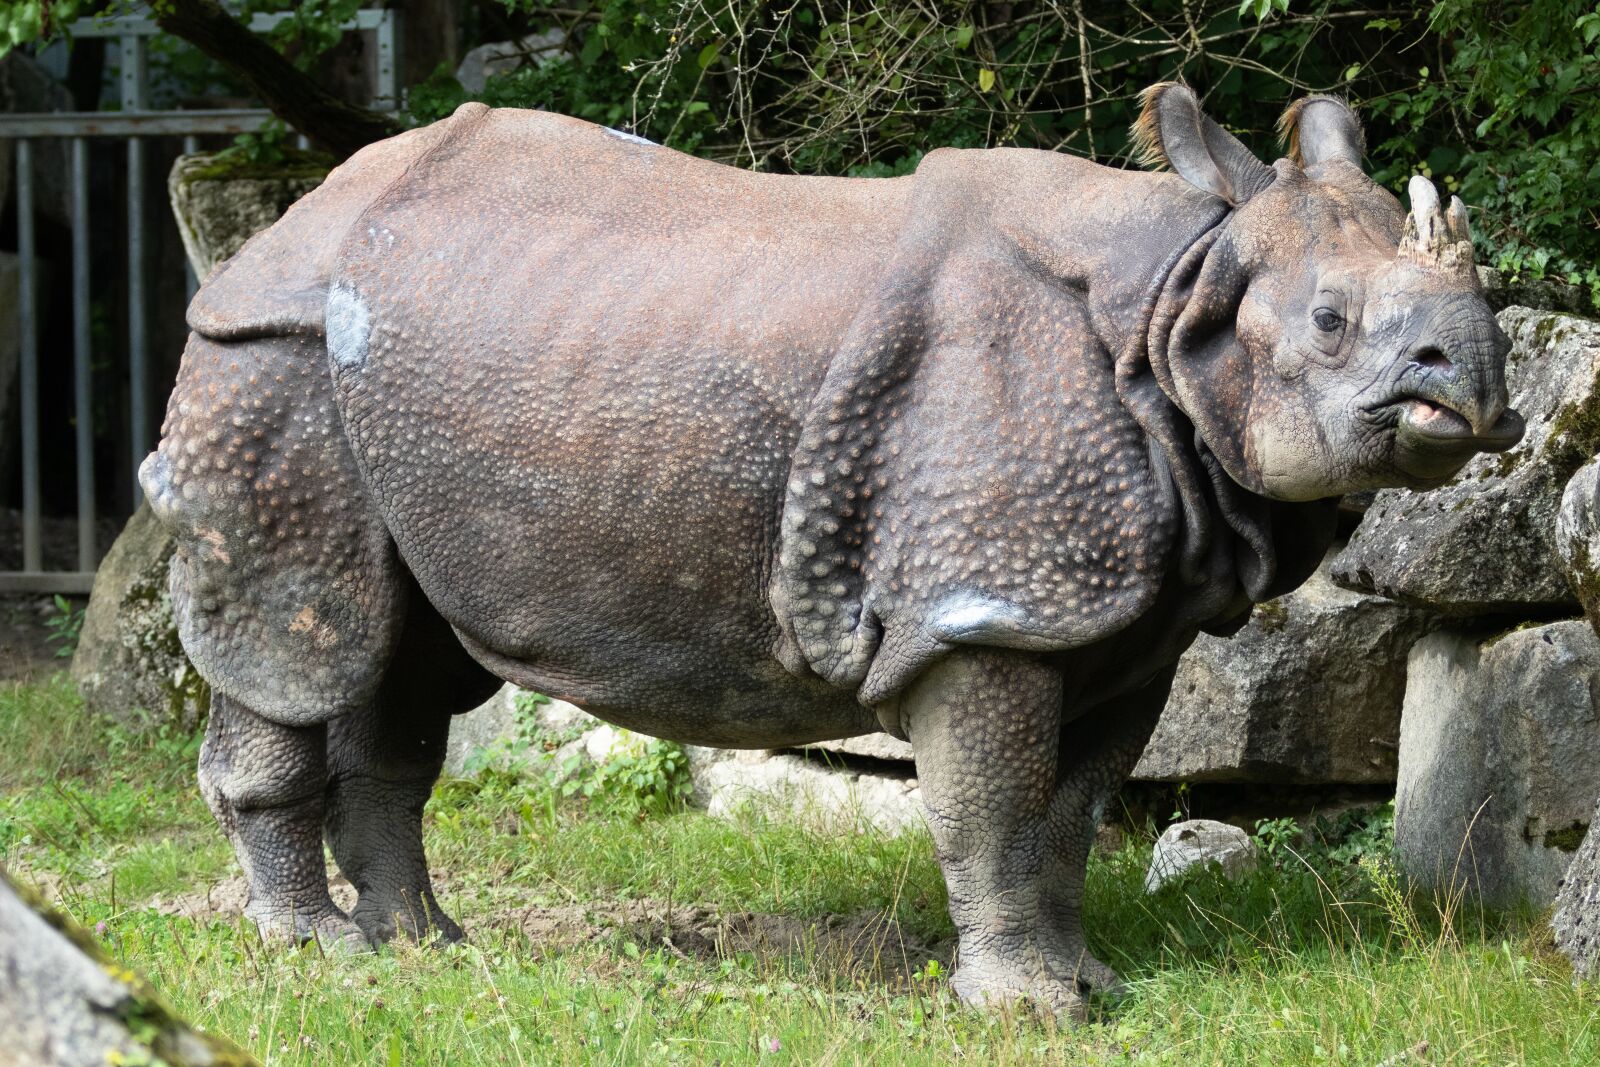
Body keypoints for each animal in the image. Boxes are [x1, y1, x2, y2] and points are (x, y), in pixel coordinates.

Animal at [141, 83, 1522, 1017]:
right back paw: (315, 950)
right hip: (270, 358)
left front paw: (1087, 982)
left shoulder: (1123, 617)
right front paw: (1023, 1010)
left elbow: (1068, 812)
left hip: (405, 381)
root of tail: (290, 218)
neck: (1178, 297)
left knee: (405, 662)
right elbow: (989, 802)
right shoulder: (987, 601)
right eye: (1330, 323)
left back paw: (428, 946)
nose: (1475, 383)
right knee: (307, 636)